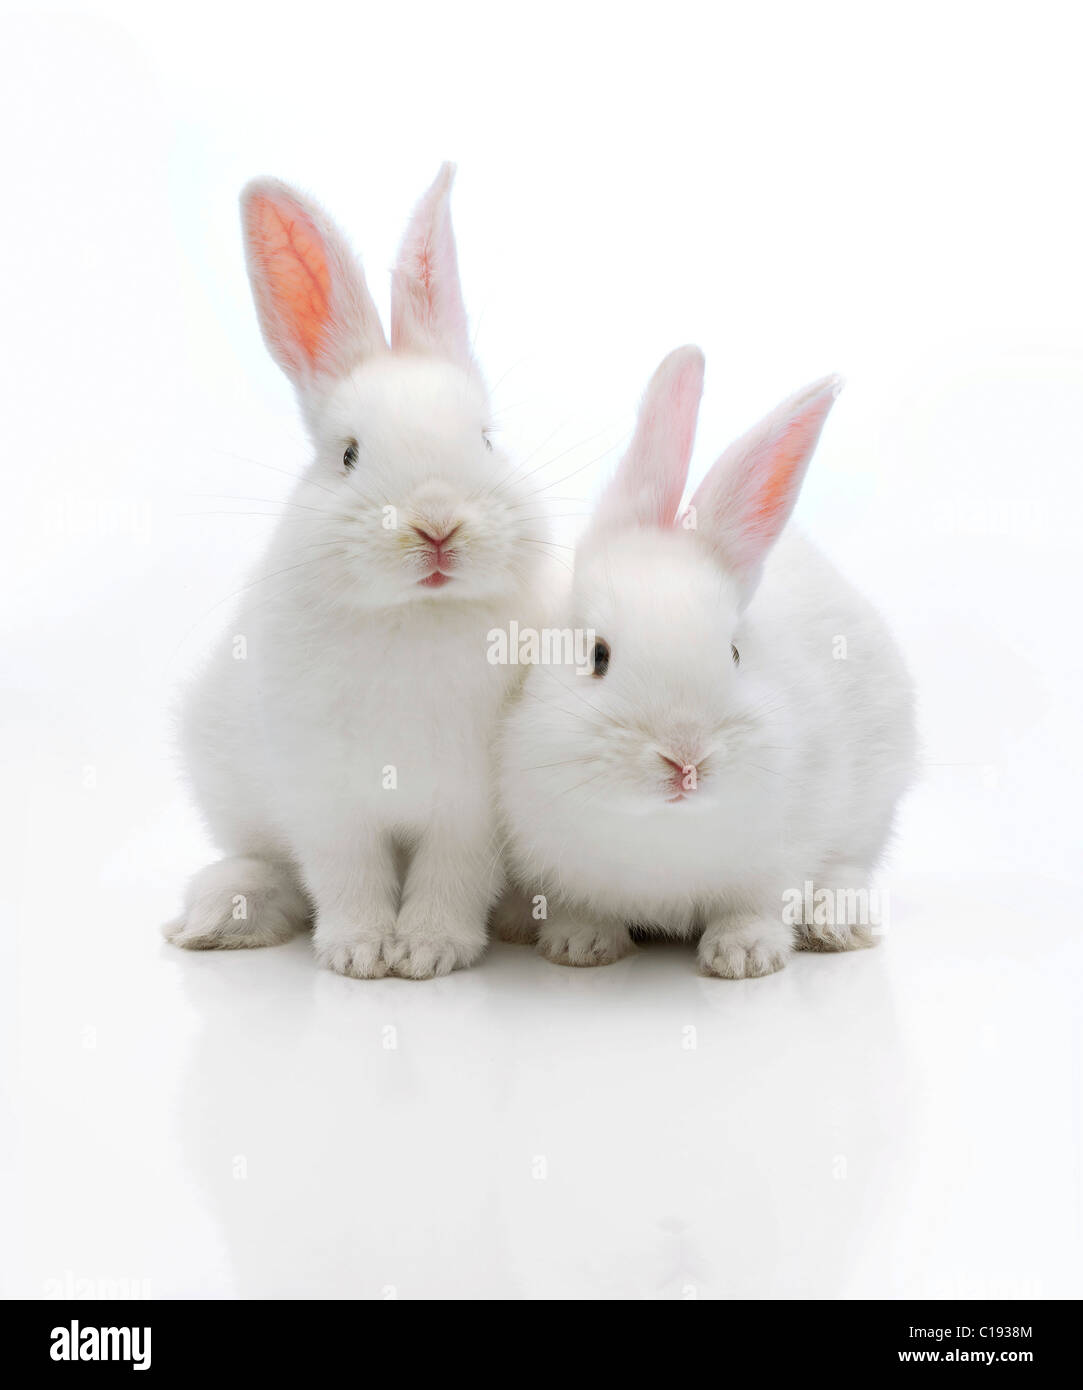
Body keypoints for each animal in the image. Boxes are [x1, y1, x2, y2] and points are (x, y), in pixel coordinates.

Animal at [165, 165, 553, 979]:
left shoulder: (470, 809)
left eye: (486, 439)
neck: (414, 615)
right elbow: (347, 875)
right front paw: (360, 954)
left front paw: (430, 952)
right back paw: (220, 915)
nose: (436, 525)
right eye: (346, 454)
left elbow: (449, 878)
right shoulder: (325, 799)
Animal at [496, 346, 916, 978]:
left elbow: (756, 905)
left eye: (735, 653)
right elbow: (581, 906)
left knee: (848, 865)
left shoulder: (781, 854)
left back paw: (838, 925)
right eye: (597, 656)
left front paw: (743, 956)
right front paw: (580, 945)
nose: (686, 760)